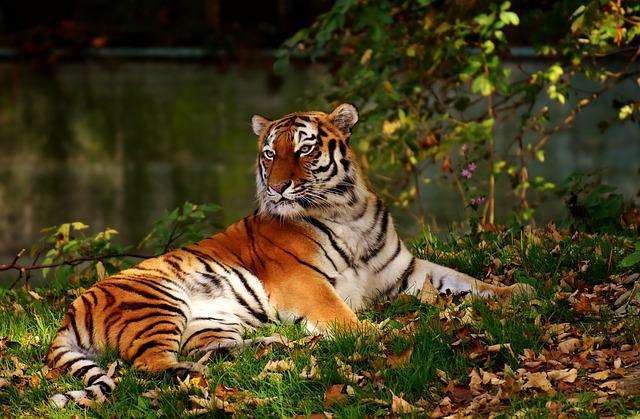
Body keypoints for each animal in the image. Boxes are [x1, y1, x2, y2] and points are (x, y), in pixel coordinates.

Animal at [46, 103, 536, 408]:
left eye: (304, 147)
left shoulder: (404, 269)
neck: (347, 210)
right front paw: (378, 333)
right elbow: (342, 316)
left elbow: (464, 280)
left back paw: (282, 345)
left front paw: (518, 290)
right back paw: (192, 375)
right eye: (269, 153)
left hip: (212, 319)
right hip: (157, 302)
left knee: (211, 350)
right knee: (150, 367)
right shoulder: (304, 281)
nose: (278, 187)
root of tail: (70, 309)